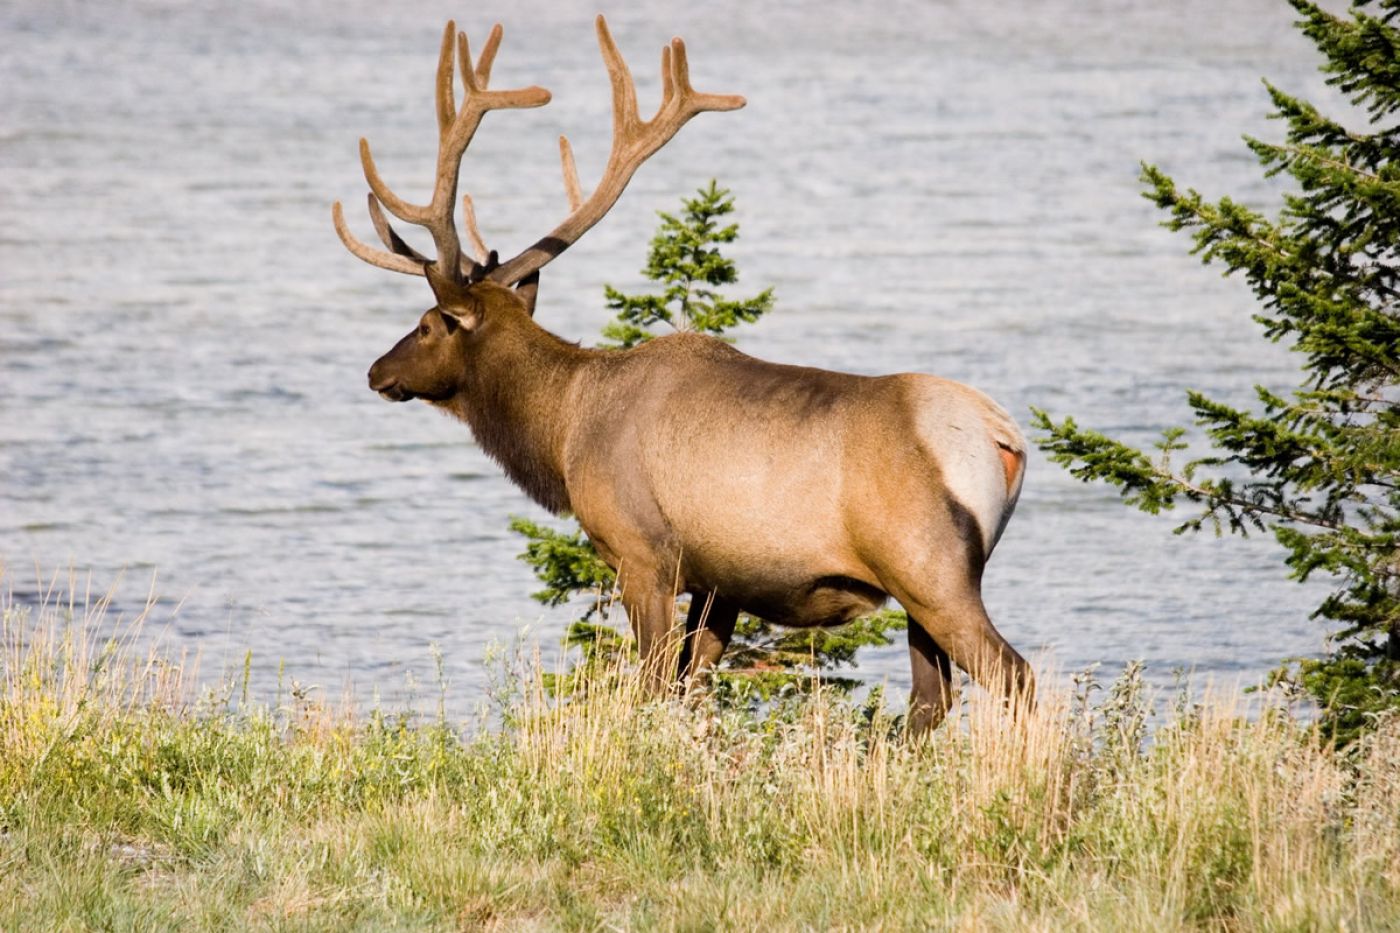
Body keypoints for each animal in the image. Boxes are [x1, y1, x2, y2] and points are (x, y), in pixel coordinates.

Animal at [333, 14, 1036, 728]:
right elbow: (690, 686)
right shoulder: (719, 580)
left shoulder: (642, 554)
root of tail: (1003, 437)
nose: (375, 371)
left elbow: (650, 684)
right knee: (931, 698)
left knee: (1015, 674)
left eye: (426, 325)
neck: (563, 430)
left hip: (929, 568)